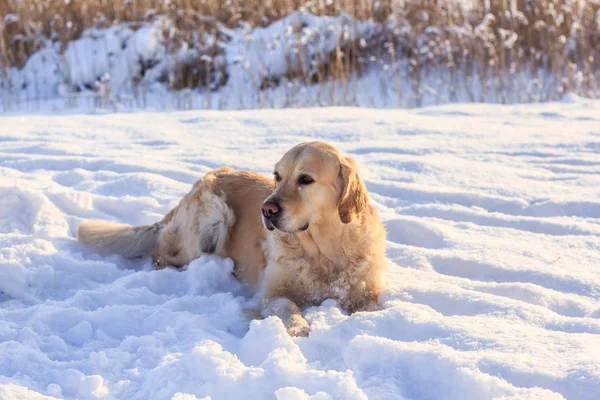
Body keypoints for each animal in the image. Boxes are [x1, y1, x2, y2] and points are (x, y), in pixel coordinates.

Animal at [77, 142, 386, 336]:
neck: (324, 250)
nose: (266, 209)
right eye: (277, 176)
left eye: (306, 179)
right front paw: (298, 327)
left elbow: (371, 306)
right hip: (215, 211)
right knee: (163, 255)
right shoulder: (271, 293)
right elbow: (288, 305)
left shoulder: (366, 293)